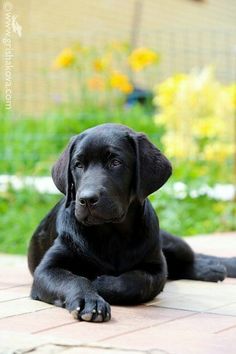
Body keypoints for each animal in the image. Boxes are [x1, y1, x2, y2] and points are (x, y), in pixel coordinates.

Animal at [28, 123, 236, 322]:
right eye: (78, 165)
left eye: (115, 162)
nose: (87, 199)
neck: (111, 233)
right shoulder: (47, 269)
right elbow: (75, 279)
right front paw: (90, 301)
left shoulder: (156, 269)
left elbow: (132, 283)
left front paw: (99, 284)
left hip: (169, 242)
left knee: (189, 258)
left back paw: (215, 267)